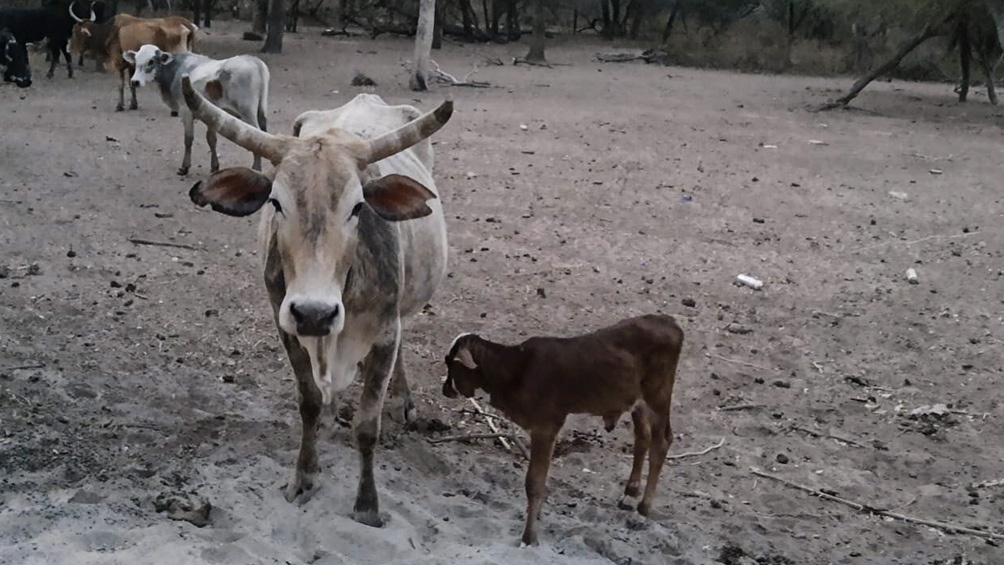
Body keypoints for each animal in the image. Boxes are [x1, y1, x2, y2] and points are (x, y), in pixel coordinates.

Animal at [445, 313, 686, 549]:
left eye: (451, 363)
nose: (445, 390)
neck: (516, 369)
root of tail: (668, 321)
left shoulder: (545, 428)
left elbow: (534, 483)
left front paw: (529, 537)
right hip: (637, 402)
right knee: (643, 436)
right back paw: (630, 493)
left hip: (658, 398)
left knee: (661, 442)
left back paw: (644, 507)